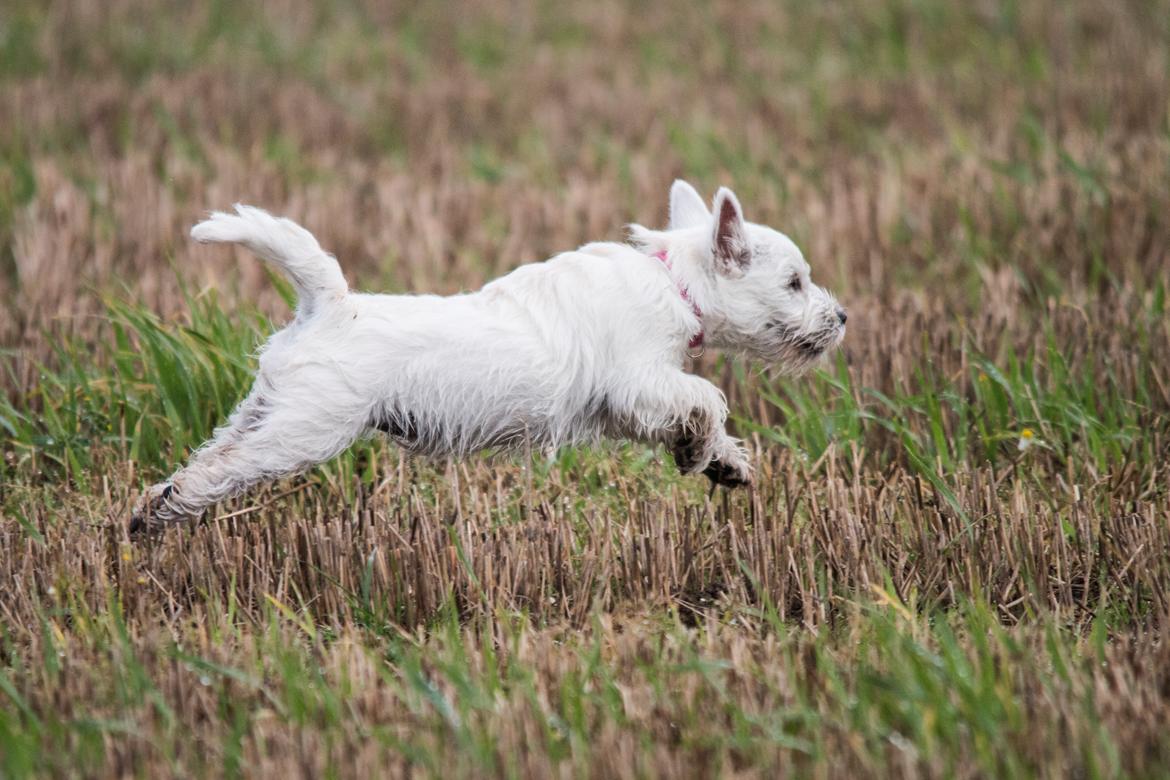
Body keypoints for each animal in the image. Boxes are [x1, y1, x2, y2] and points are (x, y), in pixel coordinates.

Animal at [128, 181, 847, 533]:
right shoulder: (637, 382)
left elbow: (700, 414)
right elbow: (703, 399)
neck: (674, 280)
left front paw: (722, 463)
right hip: (304, 429)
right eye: (794, 282)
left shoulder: (625, 403)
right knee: (224, 470)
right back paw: (162, 512)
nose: (841, 318)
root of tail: (328, 305)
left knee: (212, 453)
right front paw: (702, 452)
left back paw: (155, 506)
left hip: (266, 409)